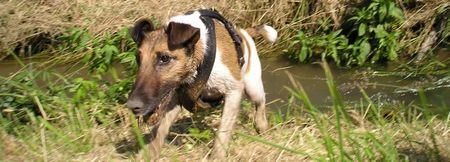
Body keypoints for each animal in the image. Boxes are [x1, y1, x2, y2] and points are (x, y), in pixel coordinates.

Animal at [125, 9, 276, 159]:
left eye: (164, 58)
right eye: (138, 58)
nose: (132, 106)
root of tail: (243, 32)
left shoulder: (234, 90)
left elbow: (223, 130)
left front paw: (217, 156)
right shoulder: (178, 98)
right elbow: (160, 129)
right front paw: (148, 153)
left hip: (252, 87)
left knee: (261, 101)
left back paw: (261, 124)